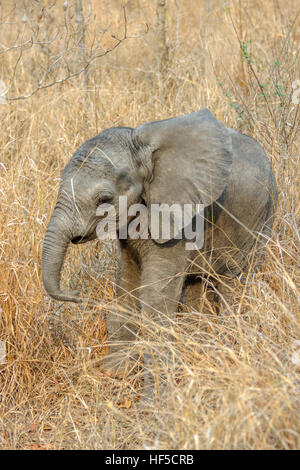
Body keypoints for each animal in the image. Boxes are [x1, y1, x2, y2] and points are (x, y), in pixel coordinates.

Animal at [41, 109, 276, 400]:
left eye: (104, 200)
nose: (77, 295)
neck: (143, 149)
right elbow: (127, 285)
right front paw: (115, 374)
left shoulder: (181, 217)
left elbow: (156, 300)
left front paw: (153, 402)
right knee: (198, 285)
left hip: (260, 222)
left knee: (234, 284)